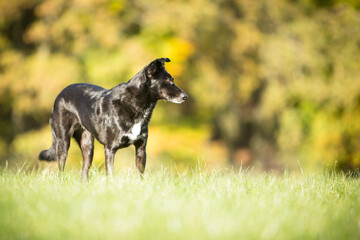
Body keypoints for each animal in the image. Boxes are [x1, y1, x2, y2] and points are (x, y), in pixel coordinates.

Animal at [39, 57, 188, 178]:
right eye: (169, 81)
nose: (185, 96)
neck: (137, 105)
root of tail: (60, 94)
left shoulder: (141, 148)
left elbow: (140, 174)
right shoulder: (110, 149)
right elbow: (110, 174)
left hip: (88, 145)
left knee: (84, 171)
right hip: (63, 142)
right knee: (60, 169)